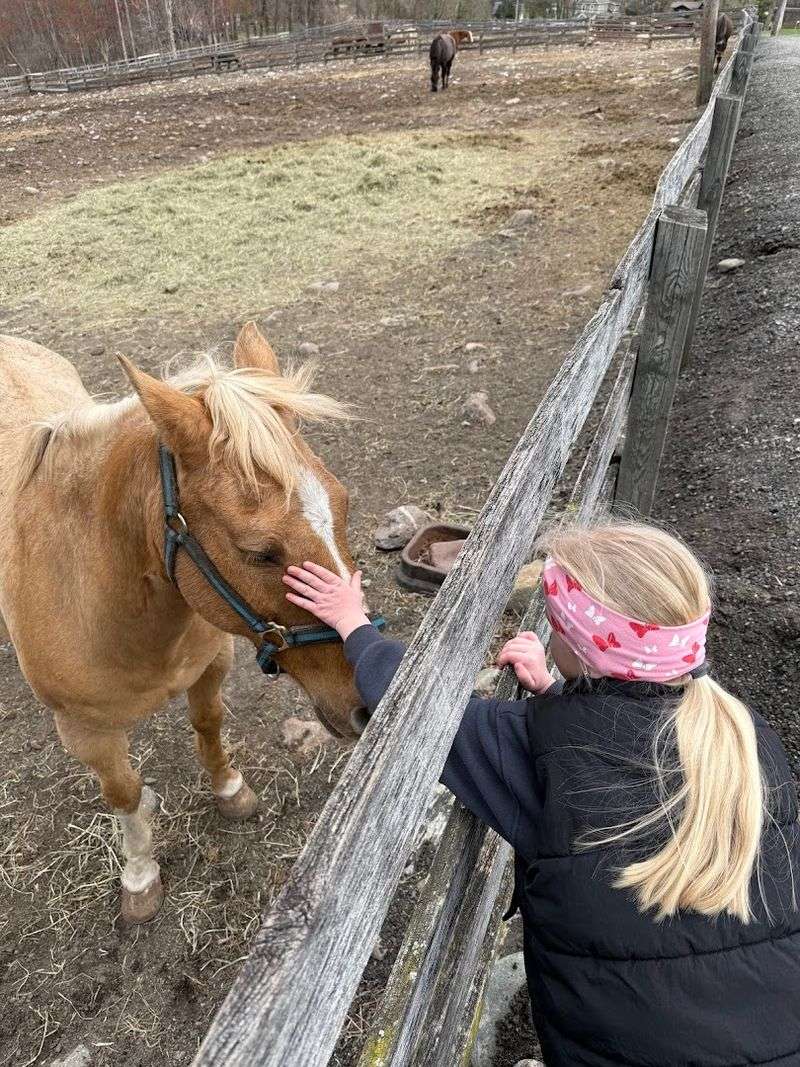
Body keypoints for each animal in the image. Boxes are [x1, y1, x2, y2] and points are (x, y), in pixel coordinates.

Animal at [0, 322, 369, 925]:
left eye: (342, 503)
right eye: (259, 552)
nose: (366, 704)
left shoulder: (211, 664)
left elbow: (209, 724)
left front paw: (230, 789)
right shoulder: (85, 731)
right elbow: (124, 792)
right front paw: (140, 873)